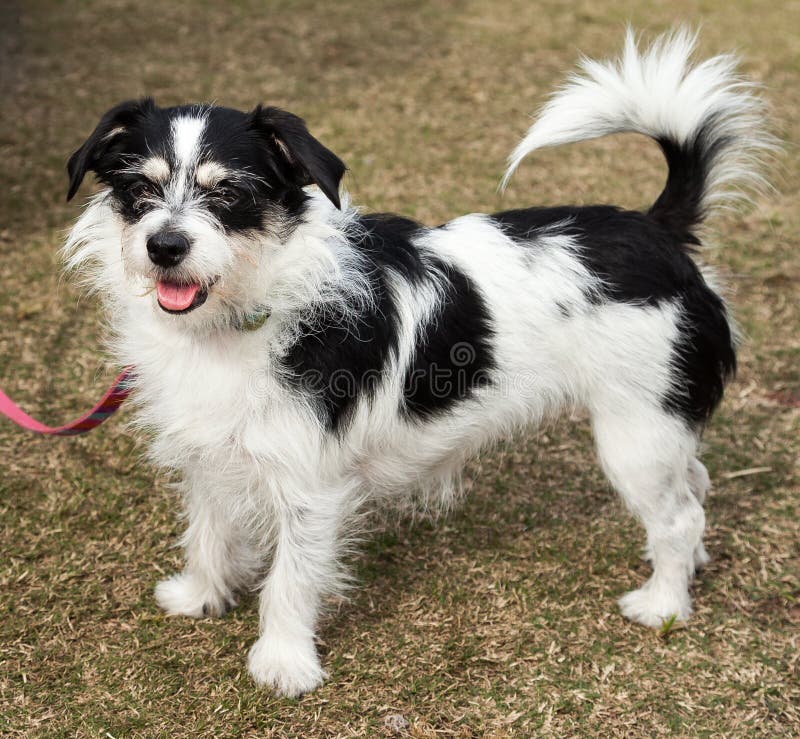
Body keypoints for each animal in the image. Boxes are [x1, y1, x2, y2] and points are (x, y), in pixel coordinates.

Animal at [62, 30, 768, 700]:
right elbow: (208, 526)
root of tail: (659, 232)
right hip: (659, 424)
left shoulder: (310, 485)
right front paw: (202, 594)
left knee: (678, 514)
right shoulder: (210, 451)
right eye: (140, 188)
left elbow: (291, 579)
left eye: (230, 194)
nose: (165, 245)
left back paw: (664, 603)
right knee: (696, 484)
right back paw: (693, 566)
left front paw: (284, 663)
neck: (250, 312)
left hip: (635, 434)